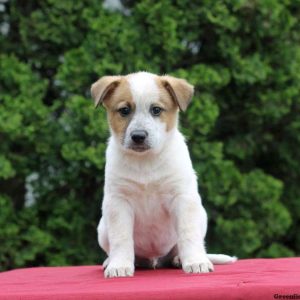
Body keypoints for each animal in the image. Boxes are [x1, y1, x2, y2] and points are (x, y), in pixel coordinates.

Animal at [91, 71, 237, 278]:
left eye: (156, 110)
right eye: (124, 110)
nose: (138, 136)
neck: (145, 162)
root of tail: (154, 260)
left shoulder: (182, 198)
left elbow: (188, 234)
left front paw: (196, 262)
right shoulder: (118, 202)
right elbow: (121, 238)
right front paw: (119, 265)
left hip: (200, 216)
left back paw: (179, 259)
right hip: (103, 227)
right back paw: (112, 261)